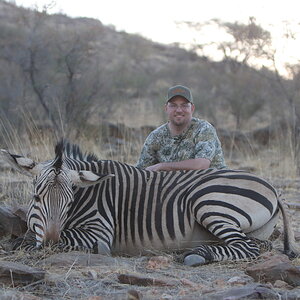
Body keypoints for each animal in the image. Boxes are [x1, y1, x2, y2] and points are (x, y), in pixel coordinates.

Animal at [0, 139, 298, 266]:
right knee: (257, 245)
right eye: (37, 197)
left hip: (209, 203)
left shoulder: (100, 232)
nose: (50, 245)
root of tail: (273, 188)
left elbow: (50, 237)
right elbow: (30, 233)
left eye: (70, 200)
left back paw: (196, 254)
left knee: (248, 247)